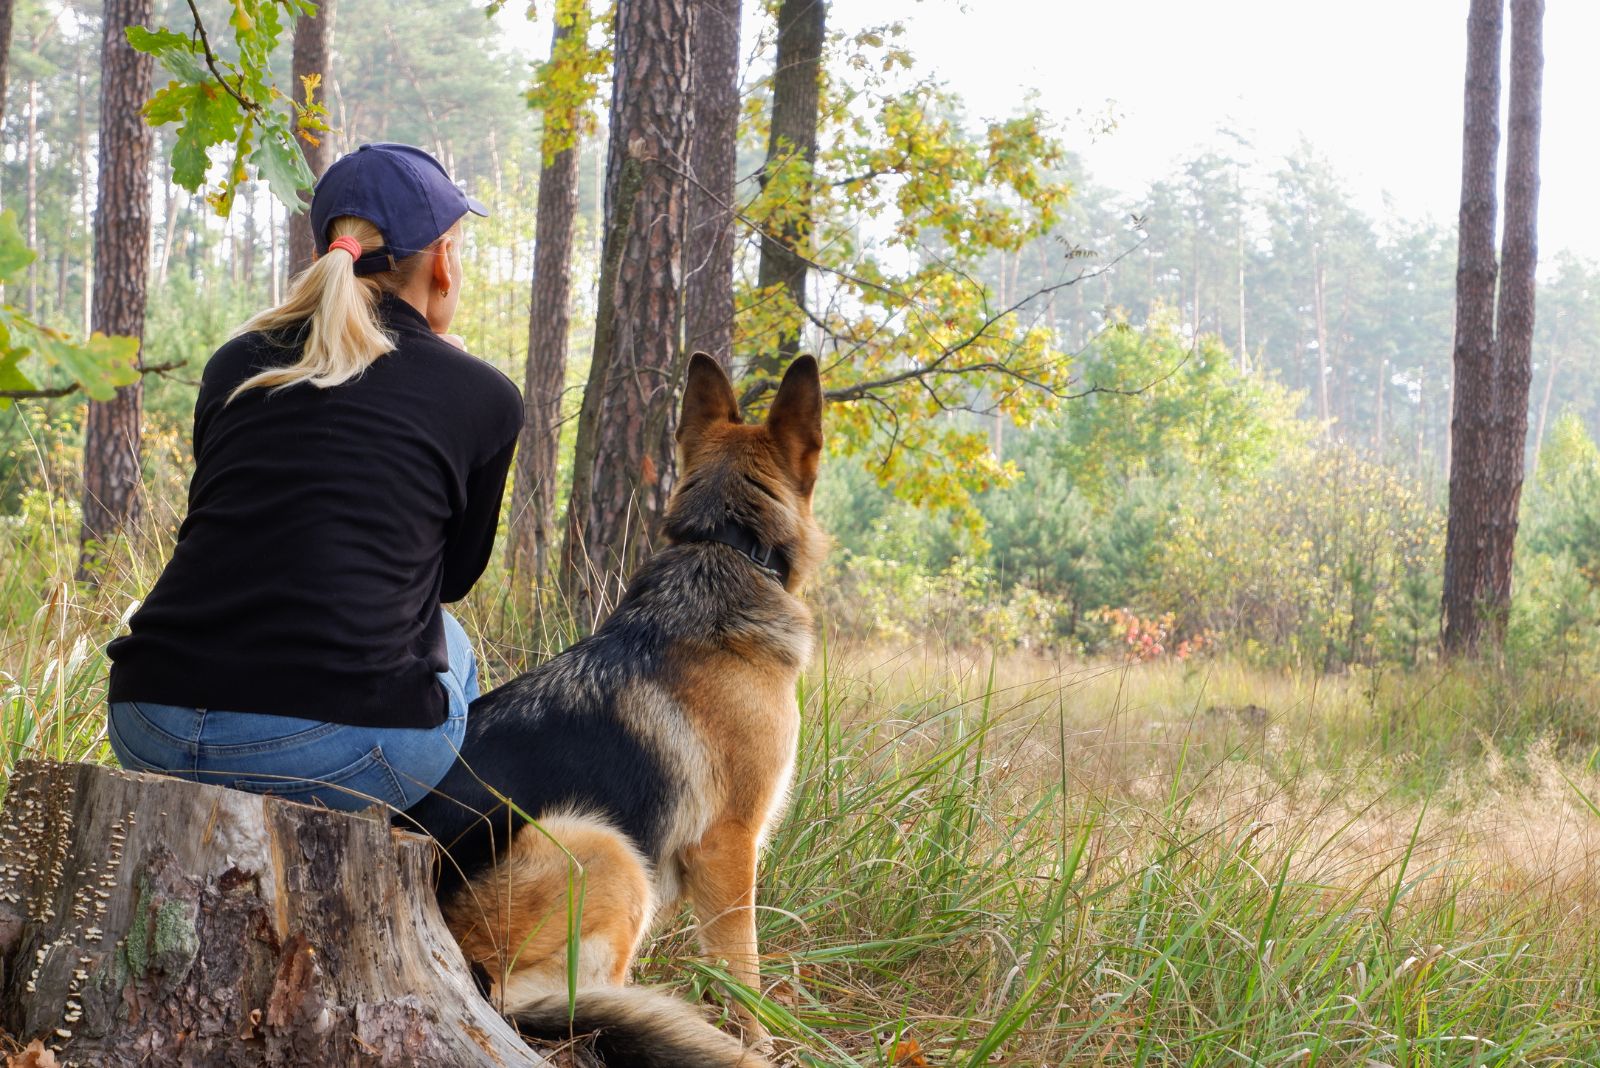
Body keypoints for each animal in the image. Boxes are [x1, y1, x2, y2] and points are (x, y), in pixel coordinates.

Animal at [398, 354, 825, 1061]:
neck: (724, 545)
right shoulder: (729, 846)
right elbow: (742, 966)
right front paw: (759, 1040)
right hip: (607, 848)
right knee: (564, 998)